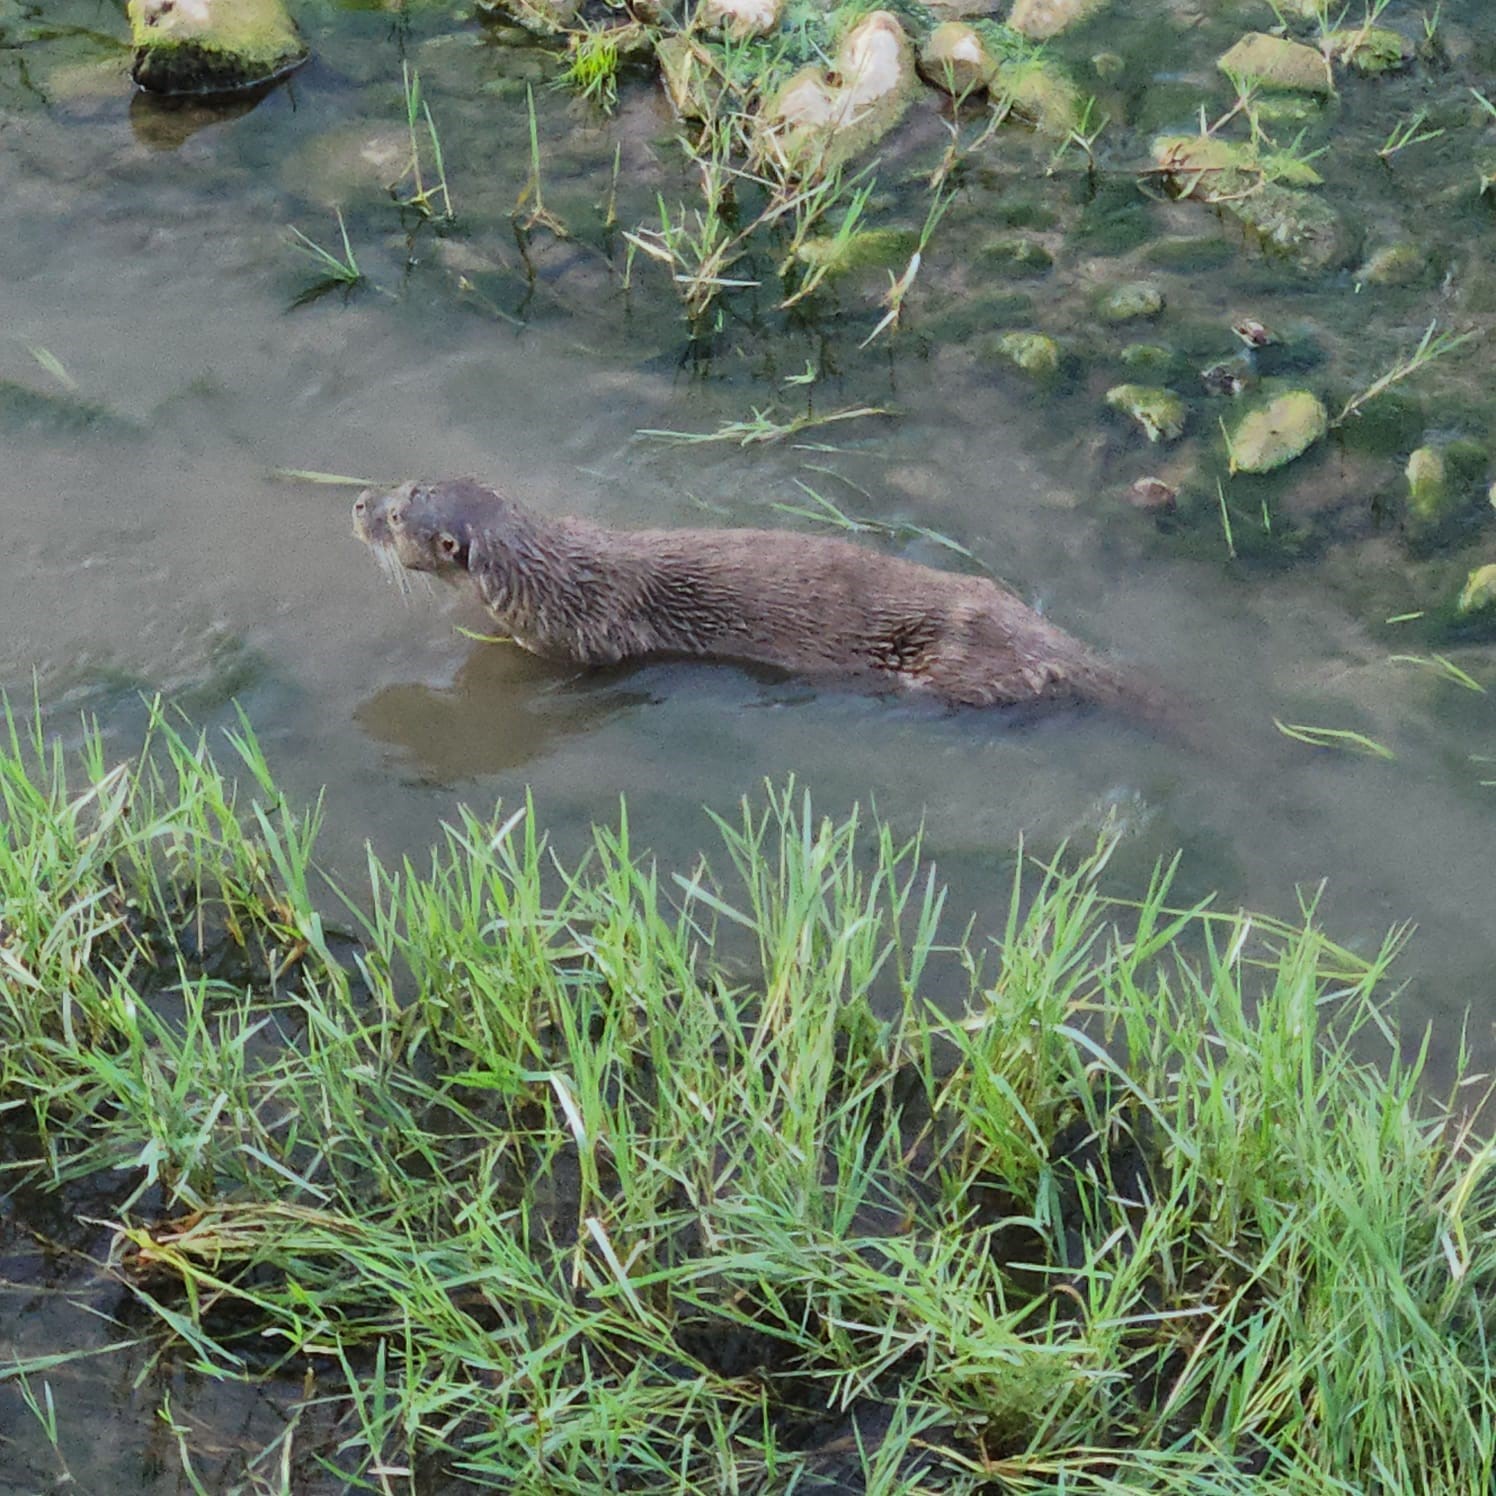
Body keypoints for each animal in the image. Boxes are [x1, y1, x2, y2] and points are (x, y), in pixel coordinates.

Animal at [353, 472, 1166, 718]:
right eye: (401, 482)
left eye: (396, 519)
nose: (357, 503)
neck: (555, 577)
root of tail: (1043, 637)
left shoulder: (575, 642)